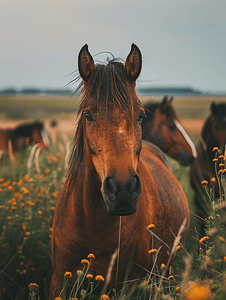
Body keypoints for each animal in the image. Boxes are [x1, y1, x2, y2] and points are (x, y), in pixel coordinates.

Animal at [50, 43, 190, 298]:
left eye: (141, 115)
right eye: (88, 115)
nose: (123, 189)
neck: (92, 224)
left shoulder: (127, 286)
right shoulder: (59, 281)